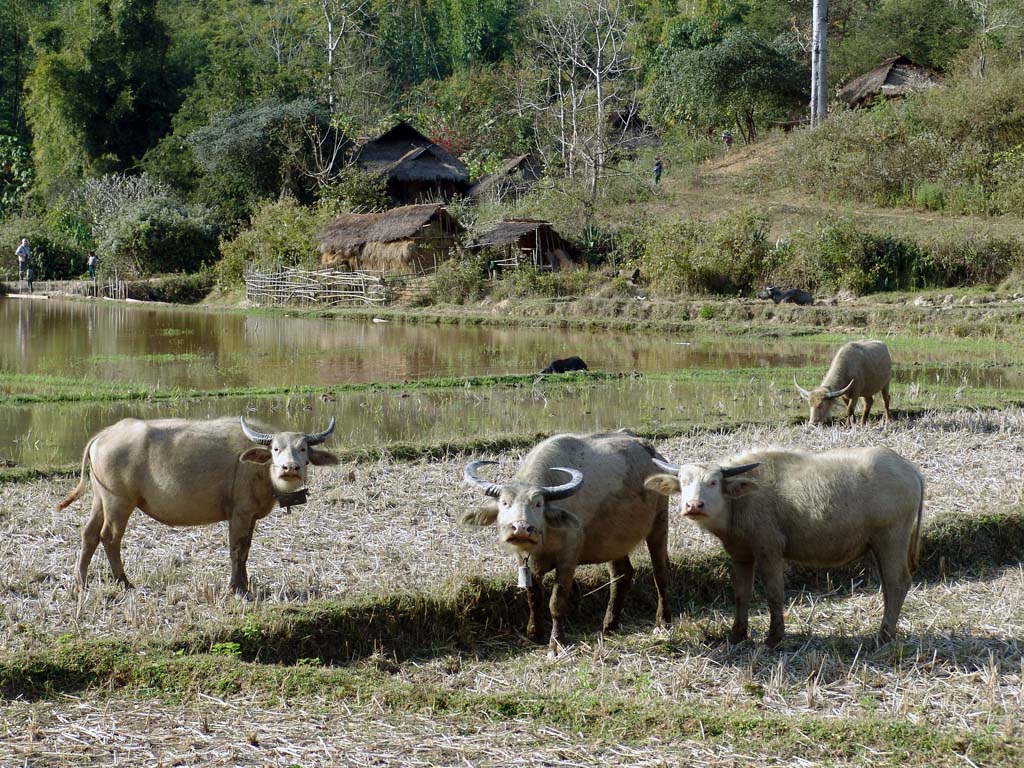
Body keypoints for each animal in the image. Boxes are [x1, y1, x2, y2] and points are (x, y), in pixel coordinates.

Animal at [56, 415, 337, 593]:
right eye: (276, 449)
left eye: (303, 449)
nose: (290, 468)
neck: (257, 468)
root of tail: (103, 435)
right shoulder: (240, 513)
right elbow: (237, 549)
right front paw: (236, 587)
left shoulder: (251, 517)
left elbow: (246, 549)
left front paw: (245, 584)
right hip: (119, 502)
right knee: (110, 537)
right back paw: (124, 583)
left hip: (99, 499)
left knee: (89, 534)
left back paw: (81, 582)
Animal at [464, 434, 671, 655]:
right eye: (504, 502)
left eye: (538, 504)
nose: (521, 528)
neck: (544, 538)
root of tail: (651, 453)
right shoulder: (524, 561)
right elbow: (533, 596)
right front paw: (534, 633)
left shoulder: (567, 560)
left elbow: (556, 602)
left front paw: (556, 642)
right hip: (614, 542)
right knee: (622, 574)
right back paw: (609, 625)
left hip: (659, 523)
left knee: (660, 572)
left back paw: (662, 621)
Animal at [647, 448, 929, 647]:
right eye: (684, 482)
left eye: (714, 482)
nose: (694, 506)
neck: (738, 503)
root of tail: (911, 470)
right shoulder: (741, 555)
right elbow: (741, 595)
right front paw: (737, 634)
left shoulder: (769, 550)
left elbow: (774, 594)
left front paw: (774, 638)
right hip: (879, 545)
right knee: (888, 586)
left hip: (892, 539)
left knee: (898, 583)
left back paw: (884, 636)